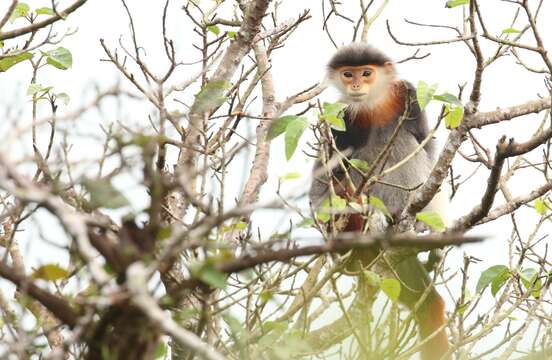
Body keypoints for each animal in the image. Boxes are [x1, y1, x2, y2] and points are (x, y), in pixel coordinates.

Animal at [310, 44, 448, 360]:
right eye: (347, 74)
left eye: (366, 73)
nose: (356, 85)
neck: (372, 105)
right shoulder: (340, 118)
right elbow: (321, 183)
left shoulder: (408, 95)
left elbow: (426, 147)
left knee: (405, 141)